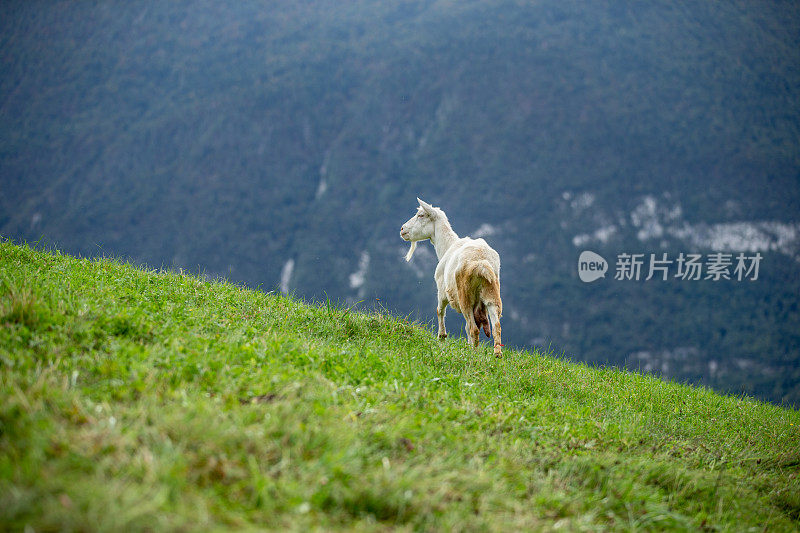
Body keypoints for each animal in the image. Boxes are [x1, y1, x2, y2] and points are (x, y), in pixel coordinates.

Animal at [404, 197, 504, 356]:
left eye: (421, 215)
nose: (402, 230)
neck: (447, 246)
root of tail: (481, 263)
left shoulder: (442, 290)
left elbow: (439, 310)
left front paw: (442, 337)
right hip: (492, 294)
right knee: (496, 326)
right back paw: (497, 354)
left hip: (465, 296)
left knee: (473, 329)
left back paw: (473, 354)